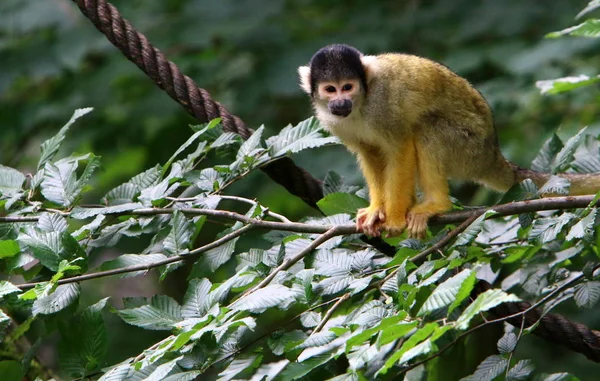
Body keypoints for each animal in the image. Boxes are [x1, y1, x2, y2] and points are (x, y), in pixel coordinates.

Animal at [300, 43, 600, 238]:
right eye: (330, 89)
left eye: (347, 87)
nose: (340, 102)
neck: (361, 103)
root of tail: (493, 155)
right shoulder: (332, 121)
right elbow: (371, 153)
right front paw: (377, 211)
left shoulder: (384, 105)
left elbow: (400, 148)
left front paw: (393, 217)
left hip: (470, 148)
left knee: (427, 128)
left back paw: (437, 204)